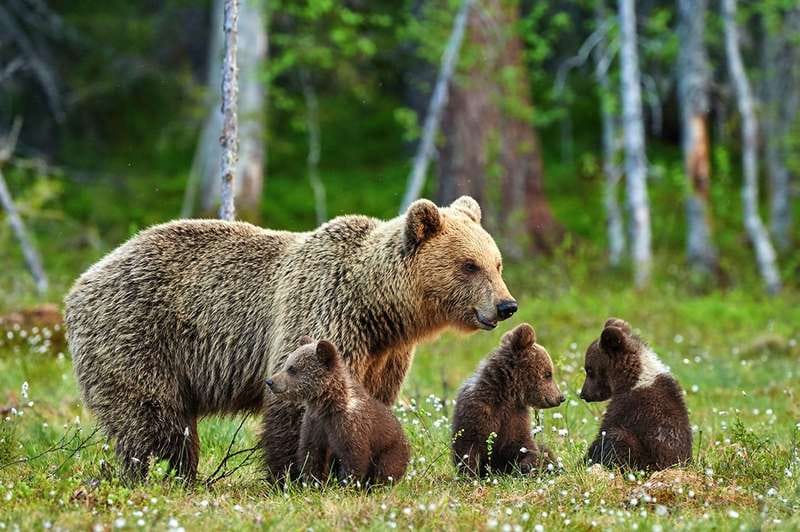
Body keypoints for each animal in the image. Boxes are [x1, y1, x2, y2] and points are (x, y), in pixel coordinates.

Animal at [61, 196, 512, 482]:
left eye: (497, 263)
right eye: (469, 265)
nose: (506, 305)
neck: (378, 308)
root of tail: (82, 281)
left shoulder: (385, 354)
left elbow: (371, 402)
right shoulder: (323, 312)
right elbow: (297, 403)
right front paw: (297, 475)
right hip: (137, 334)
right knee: (152, 415)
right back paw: (167, 473)